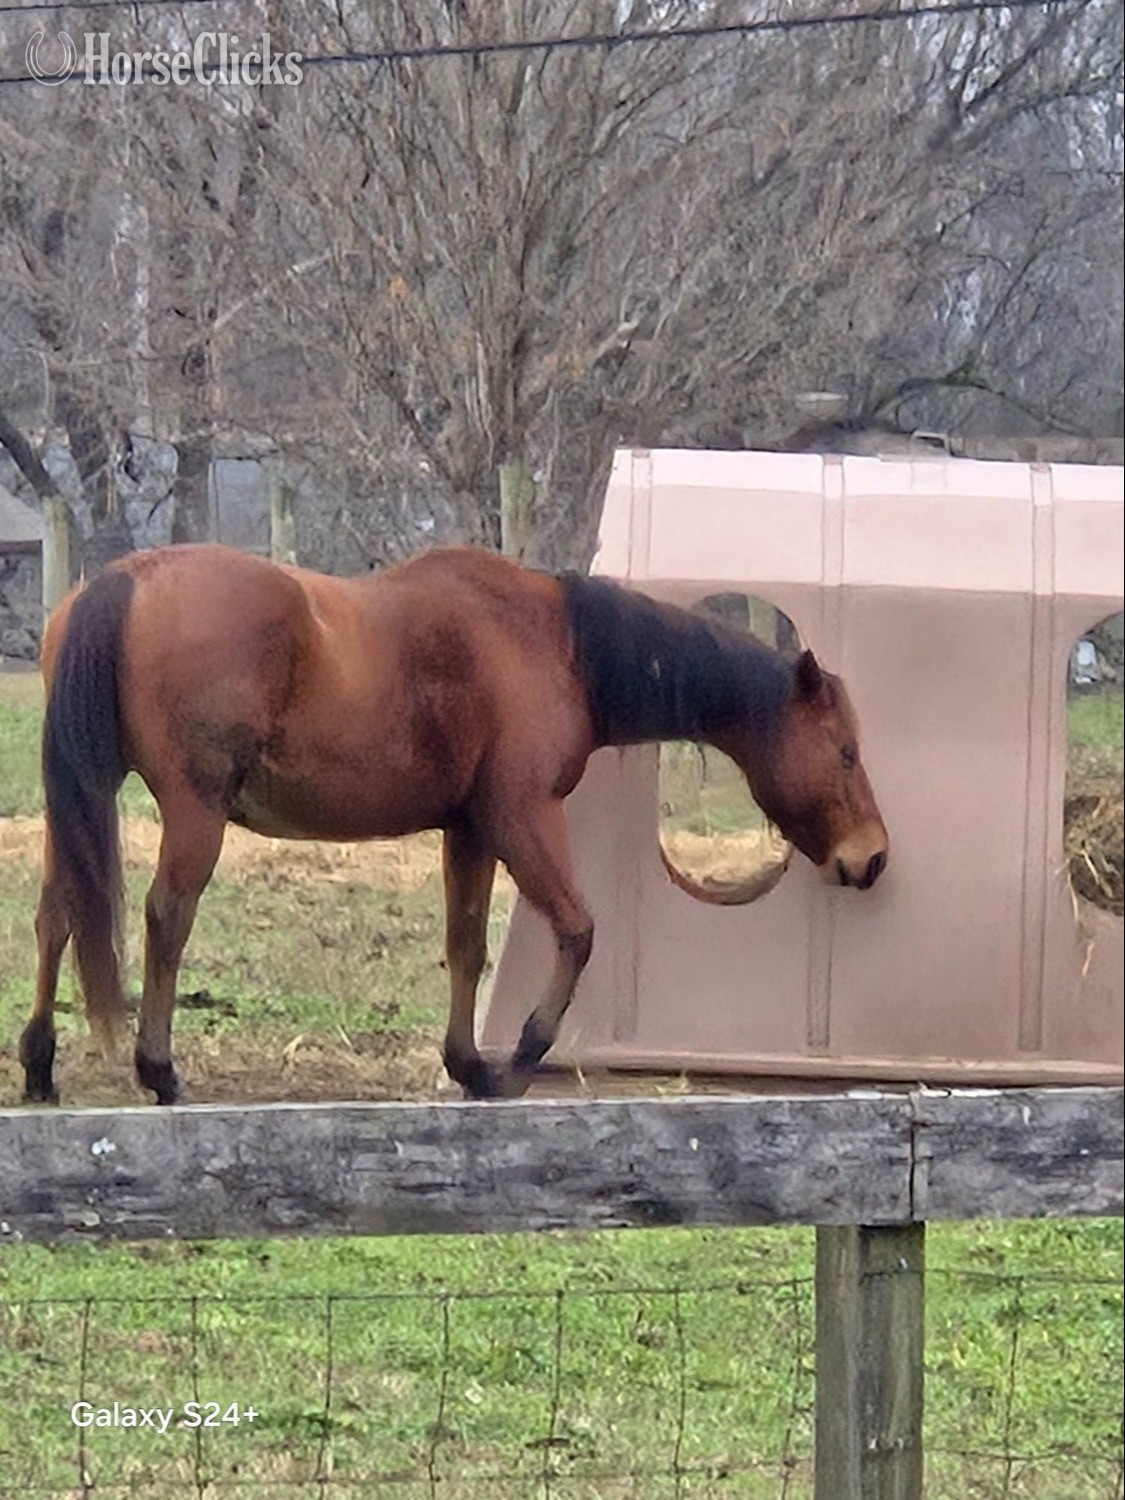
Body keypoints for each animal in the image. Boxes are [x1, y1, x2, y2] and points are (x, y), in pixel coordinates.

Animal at [19, 544, 888, 1106]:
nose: (871, 857)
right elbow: (577, 930)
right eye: (845, 752)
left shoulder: (468, 831)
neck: (553, 643)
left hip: (78, 803)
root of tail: (123, 581)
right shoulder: (520, 816)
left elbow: (465, 945)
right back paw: (158, 1068)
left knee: (58, 915)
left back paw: (38, 1064)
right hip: (194, 814)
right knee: (166, 918)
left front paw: (467, 1063)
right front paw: (520, 1056)